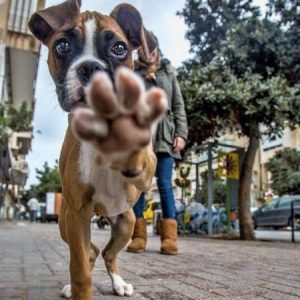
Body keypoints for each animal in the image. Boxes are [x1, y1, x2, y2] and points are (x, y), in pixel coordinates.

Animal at [28, 1, 168, 298]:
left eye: (119, 48)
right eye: (62, 45)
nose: (91, 67)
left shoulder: (146, 173)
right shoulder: (78, 211)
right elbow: (80, 269)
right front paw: (79, 287)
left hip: (126, 221)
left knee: (109, 253)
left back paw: (119, 283)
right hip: (67, 222)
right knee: (90, 252)